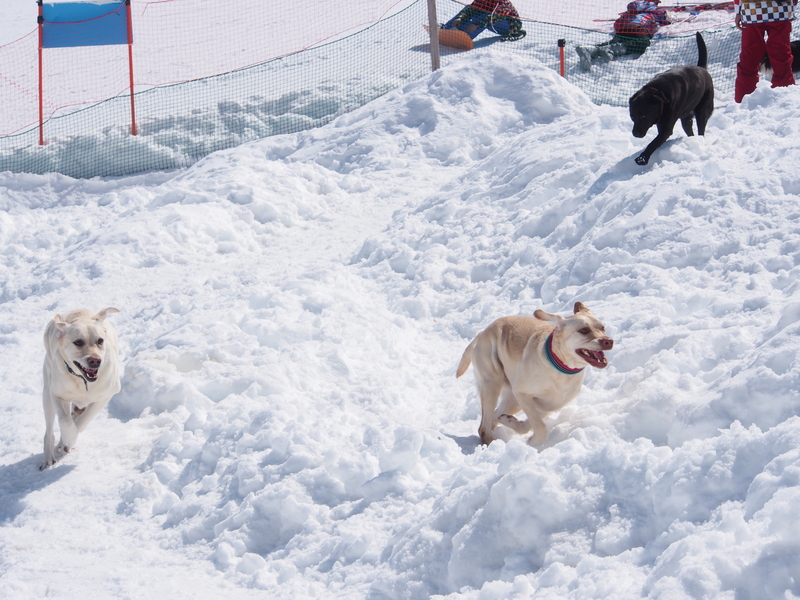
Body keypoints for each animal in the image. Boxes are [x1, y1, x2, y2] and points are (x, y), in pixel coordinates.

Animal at [40, 310, 121, 468]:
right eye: (78, 342)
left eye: (100, 341)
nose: (95, 360)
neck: (83, 381)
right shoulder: (57, 395)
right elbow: (65, 421)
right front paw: (69, 439)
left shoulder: (106, 395)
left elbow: (83, 420)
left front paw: (67, 441)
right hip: (47, 393)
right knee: (49, 430)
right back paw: (48, 458)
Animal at [456, 304, 612, 446]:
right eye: (584, 330)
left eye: (602, 327)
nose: (608, 341)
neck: (561, 367)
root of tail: (482, 332)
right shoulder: (522, 393)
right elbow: (540, 427)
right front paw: (533, 442)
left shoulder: (548, 404)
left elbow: (530, 423)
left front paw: (511, 422)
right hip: (492, 384)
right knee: (484, 427)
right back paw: (492, 443)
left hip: (512, 399)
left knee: (492, 417)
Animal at [628, 31, 716, 165]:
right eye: (632, 117)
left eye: (643, 116)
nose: (635, 134)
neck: (659, 92)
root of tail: (702, 68)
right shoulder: (661, 123)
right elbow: (657, 140)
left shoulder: (667, 127)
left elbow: (653, 143)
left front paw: (642, 158)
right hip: (686, 118)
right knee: (690, 130)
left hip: (703, 109)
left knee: (701, 128)